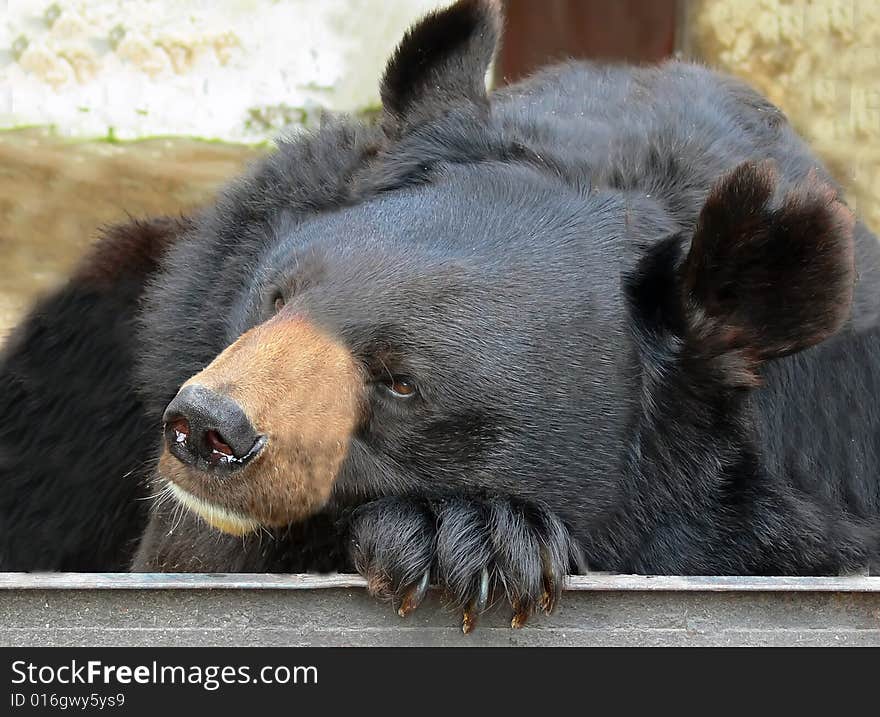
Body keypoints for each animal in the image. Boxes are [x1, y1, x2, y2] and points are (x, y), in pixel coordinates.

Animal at [1, 0, 880, 628]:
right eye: (275, 296)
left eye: (401, 382)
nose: (207, 428)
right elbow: (189, 553)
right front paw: (451, 535)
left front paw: (475, 537)